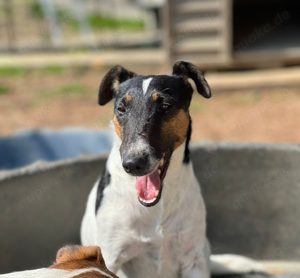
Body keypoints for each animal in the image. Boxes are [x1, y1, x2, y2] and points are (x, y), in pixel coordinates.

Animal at [81, 62, 266, 276]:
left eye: (165, 106)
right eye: (121, 108)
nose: (133, 164)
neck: (156, 206)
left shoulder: (193, 259)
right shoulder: (111, 256)